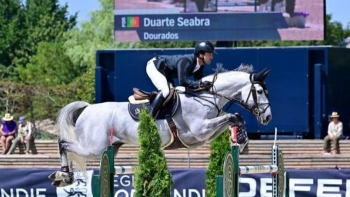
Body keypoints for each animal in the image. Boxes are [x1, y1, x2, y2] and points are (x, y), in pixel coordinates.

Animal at [47, 65, 272, 187]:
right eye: (260, 91)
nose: (268, 117)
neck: (206, 96)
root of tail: (86, 108)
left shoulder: (205, 134)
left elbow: (233, 117)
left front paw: (241, 140)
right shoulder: (199, 131)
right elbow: (233, 116)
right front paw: (241, 140)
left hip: (108, 147)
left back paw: (64, 175)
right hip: (93, 148)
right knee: (63, 143)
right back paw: (63, 175)